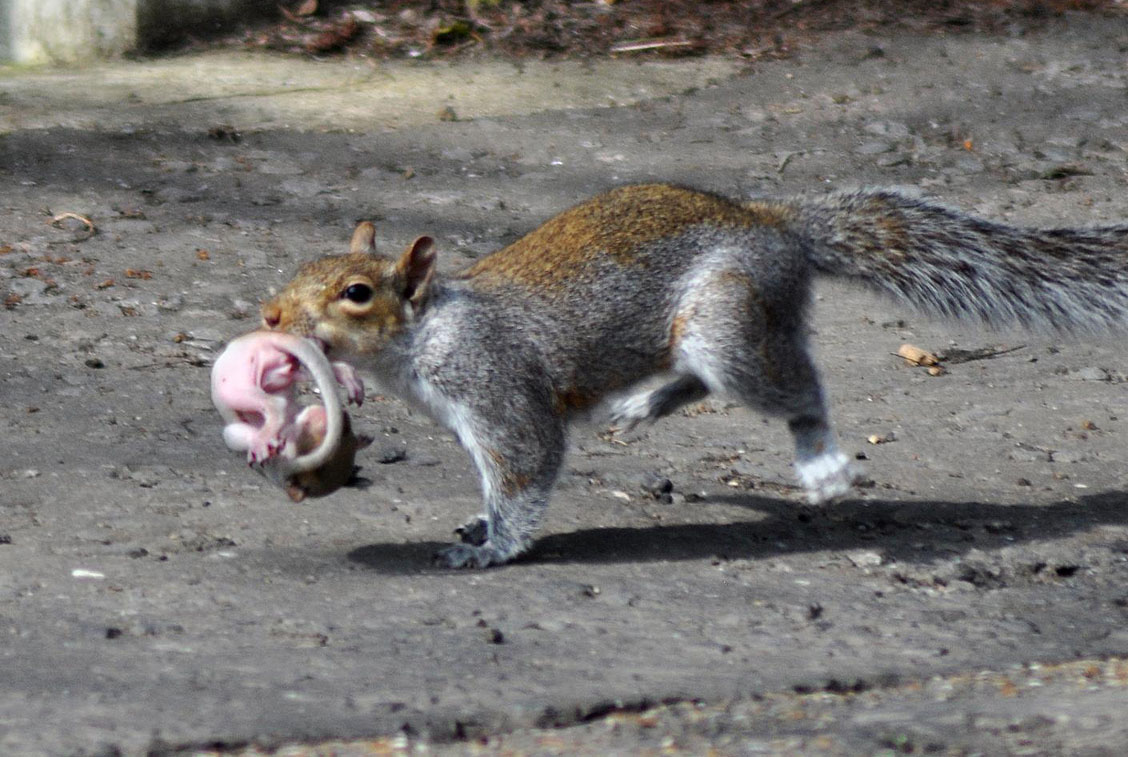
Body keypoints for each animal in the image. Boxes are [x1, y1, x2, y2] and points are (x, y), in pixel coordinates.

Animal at [258, 181, 1128, 561]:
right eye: (299, 269)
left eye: (357, 293)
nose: (269, 317)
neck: (429, 331)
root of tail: (776, 228)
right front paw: (476, 523)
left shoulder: (498, 388)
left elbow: (526, 468)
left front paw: (490, 547)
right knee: (697, 377)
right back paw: (645, 403)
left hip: (728, 325)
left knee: (793, 387)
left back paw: (821, 460)